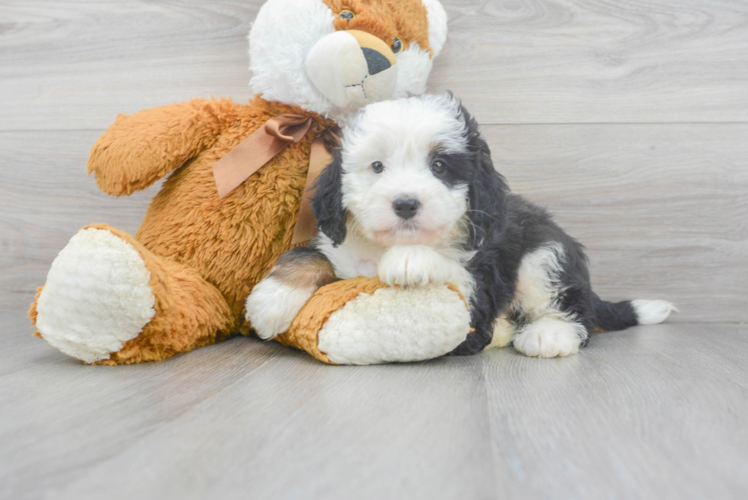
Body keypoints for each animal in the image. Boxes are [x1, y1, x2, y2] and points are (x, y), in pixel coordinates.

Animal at [243, 94, 676, 358]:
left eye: (439, 166)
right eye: (377, 166)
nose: (406, 203)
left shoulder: (477, 287)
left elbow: (449, 270)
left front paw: (410, 260)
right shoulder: (338, 245)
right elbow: (305, 255)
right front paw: (270, 301)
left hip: (545, 256)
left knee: (573, 311)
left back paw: (549, 334)